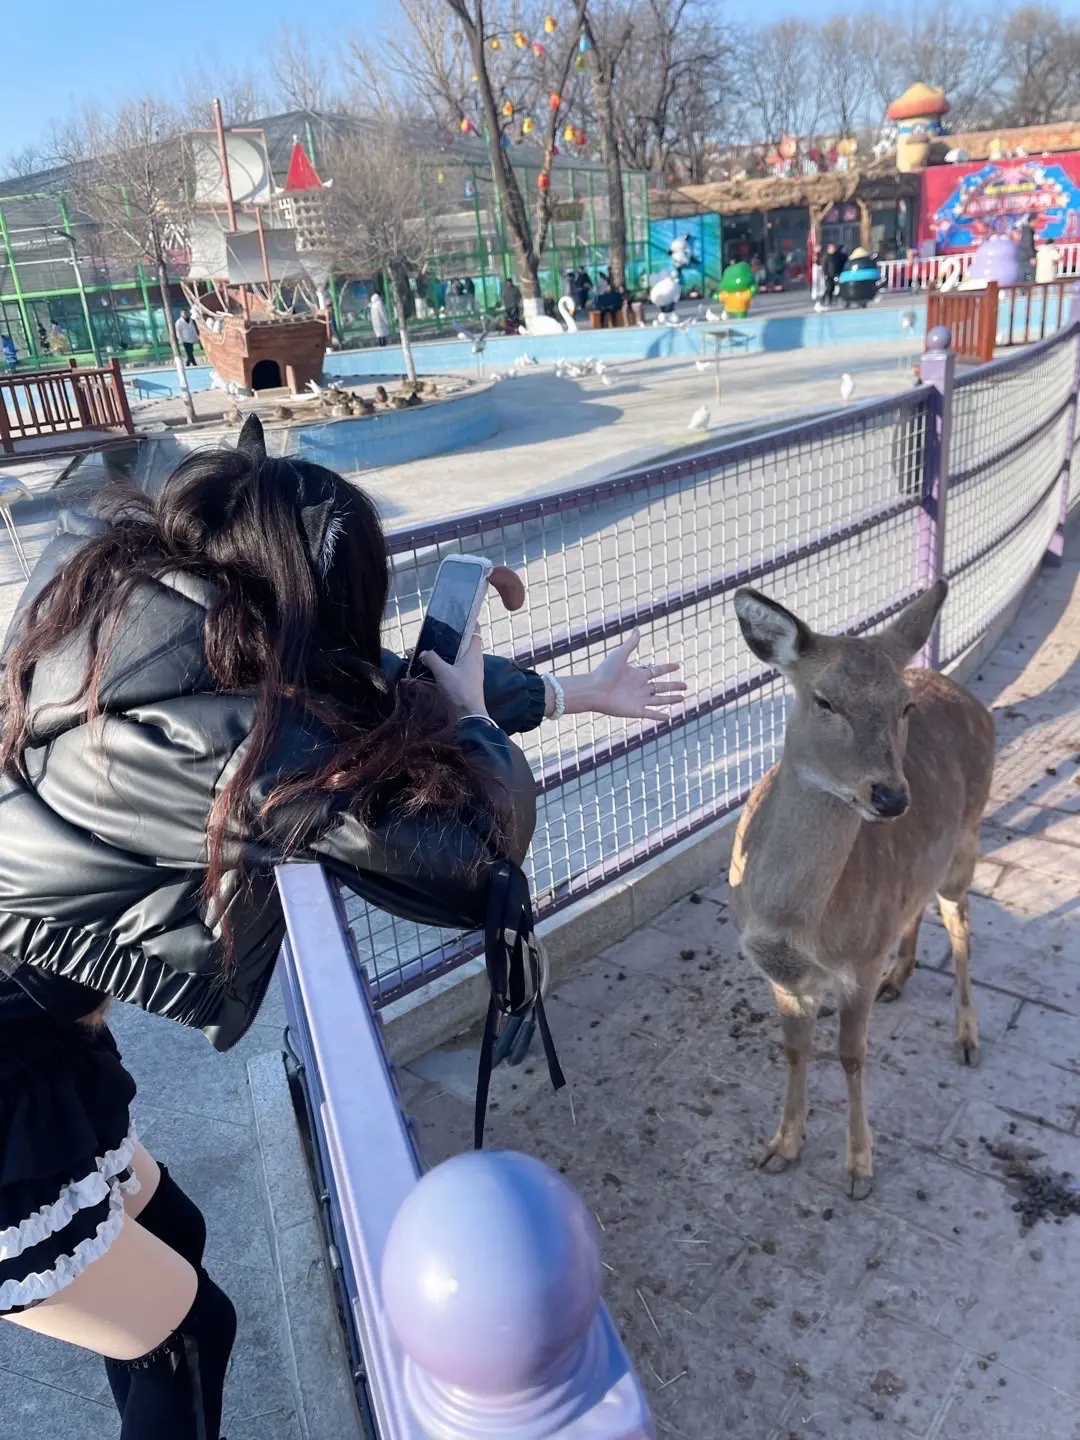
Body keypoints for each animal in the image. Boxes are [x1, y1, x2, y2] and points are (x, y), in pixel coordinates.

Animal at [728, 581, 995, 1199]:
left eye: (904, 707)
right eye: (824, 700)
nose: (892, 798)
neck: (797, 924)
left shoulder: (860, 962)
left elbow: (851, 1056)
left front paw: (858, 1168)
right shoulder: (783, 976)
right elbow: (795, 1047)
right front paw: (781, 1146)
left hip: (968, 838)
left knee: (961, 921)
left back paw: (967, 1037)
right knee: (918, 905)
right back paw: (902, 978)